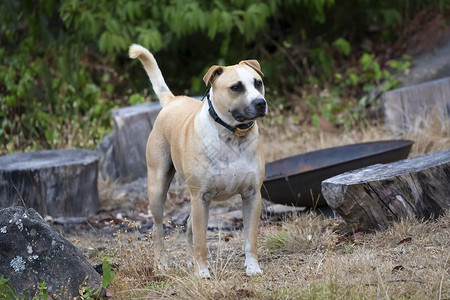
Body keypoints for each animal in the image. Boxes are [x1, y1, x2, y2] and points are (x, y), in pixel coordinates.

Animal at [128, 44, 266, 276]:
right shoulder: (200, 197)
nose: (260, 103)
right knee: (158, 227)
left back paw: (190, 260)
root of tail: (173, 100)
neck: (231, 135)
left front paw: (252, 267)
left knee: (189, 224)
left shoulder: (252, 195)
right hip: (158, 188)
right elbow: (201, 240)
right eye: (236, 87)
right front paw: (202, 273)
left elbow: (251, 238)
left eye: (258, 83)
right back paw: (161, 263)